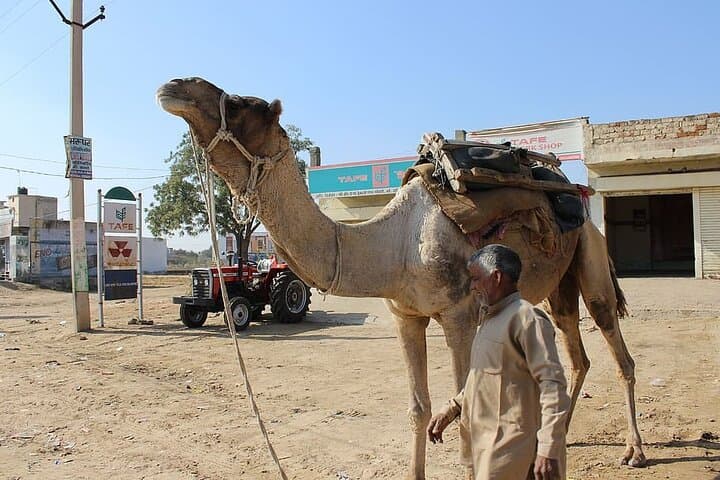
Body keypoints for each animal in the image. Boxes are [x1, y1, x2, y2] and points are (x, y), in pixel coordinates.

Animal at [157, 77, 647, 478]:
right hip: (556, 287)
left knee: (615, 343)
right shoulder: (405, 316)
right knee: (575, 350)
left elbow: (465, 410)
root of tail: (576, 193)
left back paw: (634, 452)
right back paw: (562, 437)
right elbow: (417, 408)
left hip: (590, 253)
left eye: (242, 104)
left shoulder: (460, 315)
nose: (173, 86)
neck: (394, 245)